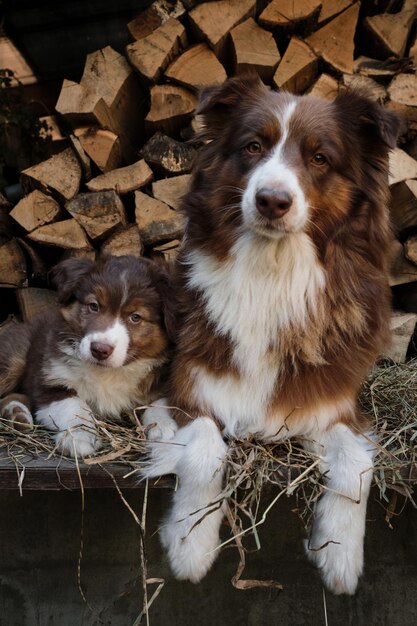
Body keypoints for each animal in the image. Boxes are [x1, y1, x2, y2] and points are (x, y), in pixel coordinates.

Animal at [0, 252, 174, 454]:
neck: (108, 372)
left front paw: (165, 429)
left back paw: (15, 414)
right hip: (15, 358)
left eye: (135, 317)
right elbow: (74, 406)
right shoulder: (51, 379)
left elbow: (160, 403)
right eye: (94, 306)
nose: (100, 350)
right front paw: (80, 437)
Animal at [142, 75, 400, 592]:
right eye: (253, 147)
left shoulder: (334, 408)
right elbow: (205, 449)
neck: (271, 272)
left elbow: (358, 466)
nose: (272, 200)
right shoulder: (182, 392)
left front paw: (340, 558)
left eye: (320, 157)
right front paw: (190, 547)